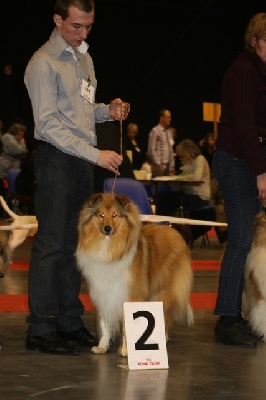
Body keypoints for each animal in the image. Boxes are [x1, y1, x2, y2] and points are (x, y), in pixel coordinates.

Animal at [76, 192, 194, 354]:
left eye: (115, 215)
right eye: (101, 215)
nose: (107, 229)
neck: (109, 247)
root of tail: (173, 230)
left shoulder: (130, 294)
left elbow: (128, 324)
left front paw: (126, 350)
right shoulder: (103, 293)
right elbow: (104, 323)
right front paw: (102, 346)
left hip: (164, 291)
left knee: (165, 314)